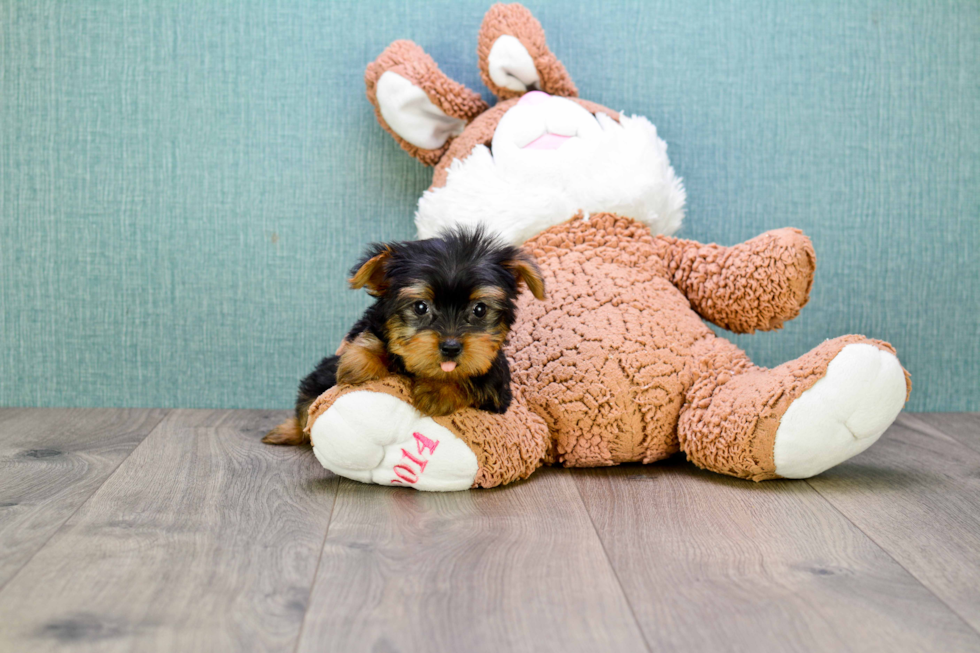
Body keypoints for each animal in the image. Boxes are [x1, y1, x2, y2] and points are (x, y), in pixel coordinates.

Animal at [262, 227, 544, 446]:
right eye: (420, 307)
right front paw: (359, 362)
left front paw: (438, 391)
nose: (451, 347)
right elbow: (372, 337)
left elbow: (474, 378)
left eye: (480, 309)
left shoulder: (497, 390)